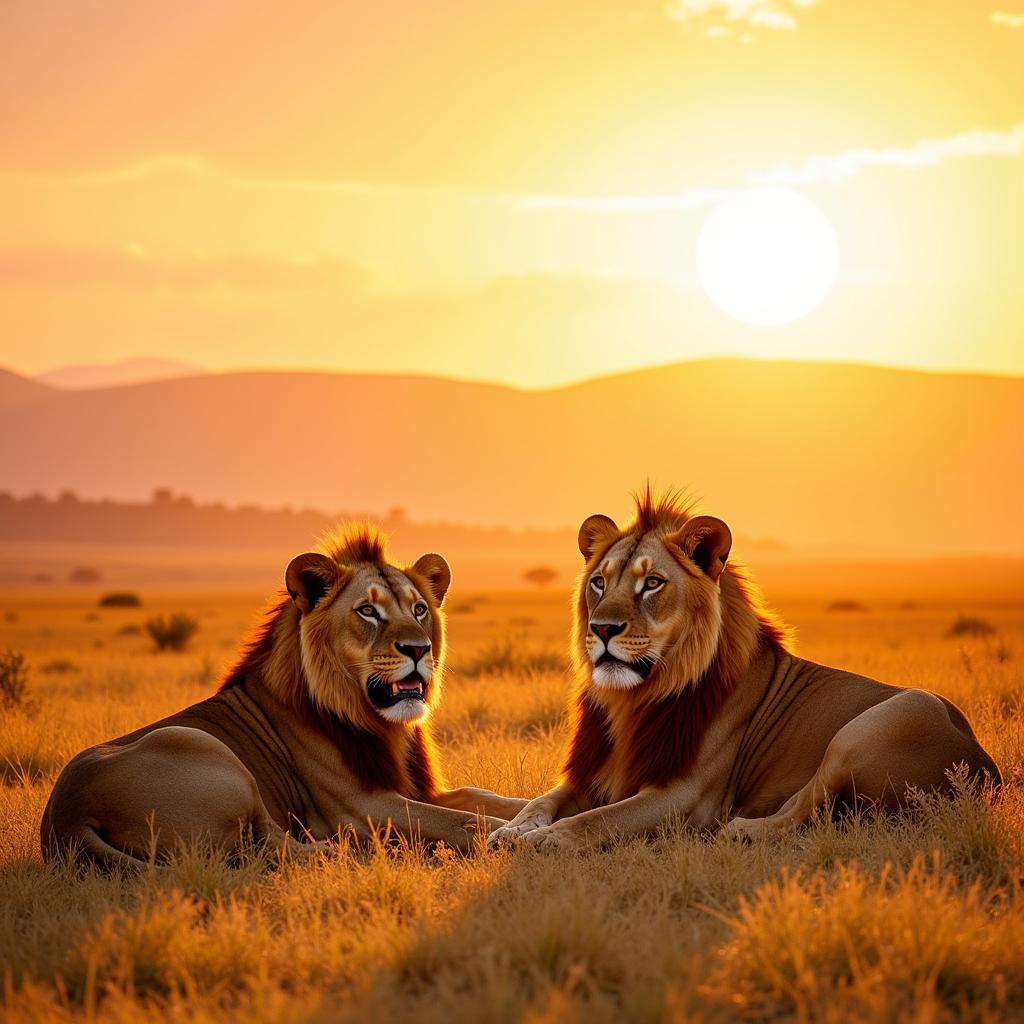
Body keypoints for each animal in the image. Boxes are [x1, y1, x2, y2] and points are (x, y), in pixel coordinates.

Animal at [41, 524, 528, 868]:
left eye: (420, 609)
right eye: (368, 611)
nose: (418, 649)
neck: (378, 723)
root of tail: (67, 819)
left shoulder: (414, 788)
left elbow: (488, 799)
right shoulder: (363, 807)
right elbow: (465, 820)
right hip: (204, 749)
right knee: (276, 845)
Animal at [487, 491, 999, 851]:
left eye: (652, 583)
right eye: (598, 581)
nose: (603, 628)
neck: (632, 701)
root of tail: (985, 770)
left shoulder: (686, 796)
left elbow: (597, 820)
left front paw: (544, 840)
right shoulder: (592, 776)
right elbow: (544, 801)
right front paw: (512, 830)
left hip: (880, 723)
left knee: (801, 812)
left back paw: (740, 830)